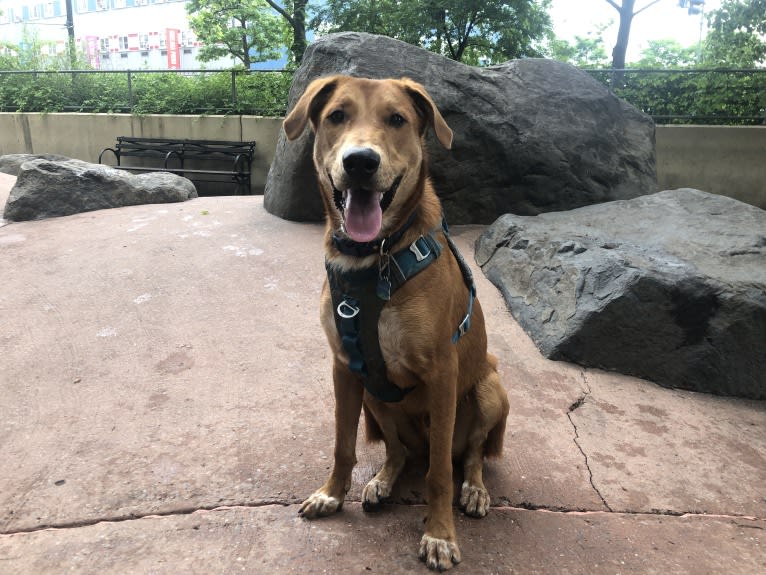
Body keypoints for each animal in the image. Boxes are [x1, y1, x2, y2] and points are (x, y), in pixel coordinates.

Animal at [284, 75, 510, 572]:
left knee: (469, 455)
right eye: (337, 116)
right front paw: (332, 494)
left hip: (490, 390)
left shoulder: (443, 373)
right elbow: (343, 443)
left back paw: (475, 490)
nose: (360, 162)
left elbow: (440, 473)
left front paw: (440, 534)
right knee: (400, 450)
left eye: (397, 119)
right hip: (376, 395)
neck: (375, 260)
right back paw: (384, 479)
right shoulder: (344, 367)